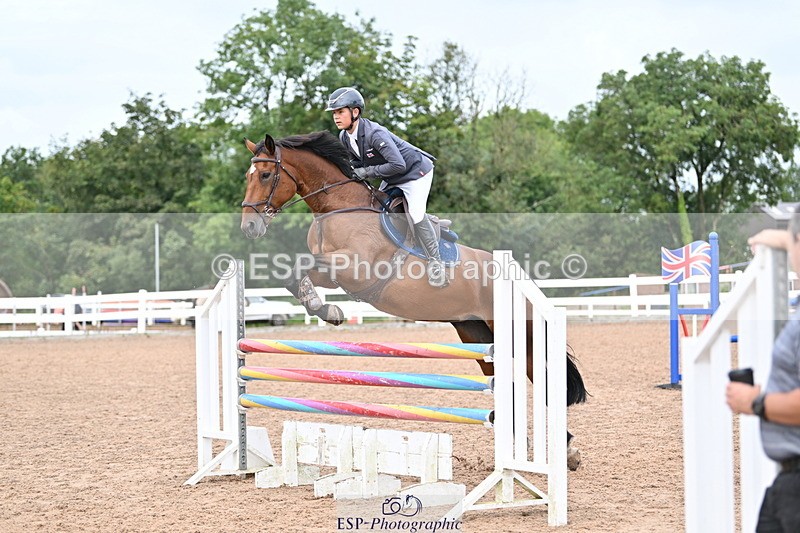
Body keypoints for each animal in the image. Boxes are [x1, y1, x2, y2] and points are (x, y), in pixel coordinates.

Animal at [239, 131, 587, 469]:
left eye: (266, 174)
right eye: (248, 176)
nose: (249, 227)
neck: (338, 207)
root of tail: (515, 272)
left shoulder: (355, 269)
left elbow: (302, 266)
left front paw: (326, 308)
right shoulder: (333, 272)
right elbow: (294, 274)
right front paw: (324, 307)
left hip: (518, 333)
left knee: (541, 377)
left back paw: (568, 449)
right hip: (474, 333)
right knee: (504, 379)